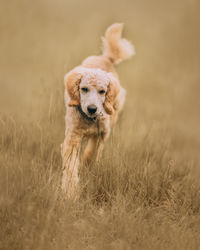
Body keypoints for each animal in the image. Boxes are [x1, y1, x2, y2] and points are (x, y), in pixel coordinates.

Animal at [61, 23, 135, 198]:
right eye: (84, 89)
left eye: (102, 91)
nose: (92, 109)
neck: (89, 120)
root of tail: (106, 58)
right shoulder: (73, 137)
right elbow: (71, 165)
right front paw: (70, 192)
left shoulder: (101, 133)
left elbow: (91, 153)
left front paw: (86, 165)